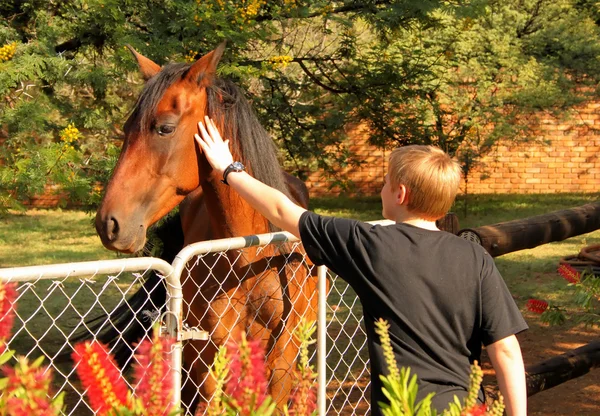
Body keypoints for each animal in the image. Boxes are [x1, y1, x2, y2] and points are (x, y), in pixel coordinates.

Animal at [94, 43, 318, 412]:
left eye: (164, 128)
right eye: (126, 129)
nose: (108, 223)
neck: (250, 258)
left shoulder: (282, 358)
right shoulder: (212, 352)